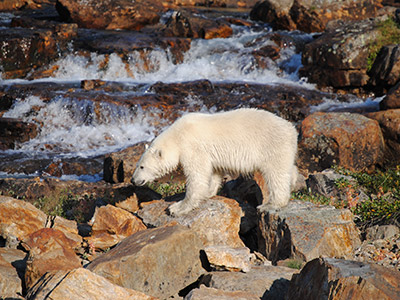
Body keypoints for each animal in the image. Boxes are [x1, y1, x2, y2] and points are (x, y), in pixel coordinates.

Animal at [131, 108, 296, 216]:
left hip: (272, 146)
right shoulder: (211, 154)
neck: (176, 136)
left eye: (142, 167)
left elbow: (197, 175)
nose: (133, 180)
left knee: (276, 174)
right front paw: (209, 192)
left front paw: (177, 208)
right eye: (138, 165)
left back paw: (270, 205)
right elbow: (214, 171)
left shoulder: (192, 147)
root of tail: (292, 129)